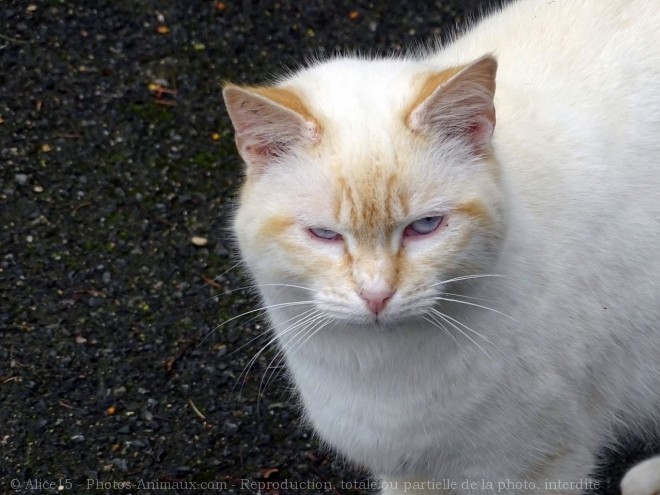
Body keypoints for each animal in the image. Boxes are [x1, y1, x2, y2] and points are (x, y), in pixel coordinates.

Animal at [223, 0, 660, 495]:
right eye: (325, 235)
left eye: (425, 227)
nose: (376, 295)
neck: (382, 373)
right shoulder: (410, 474)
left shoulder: (536, 470)